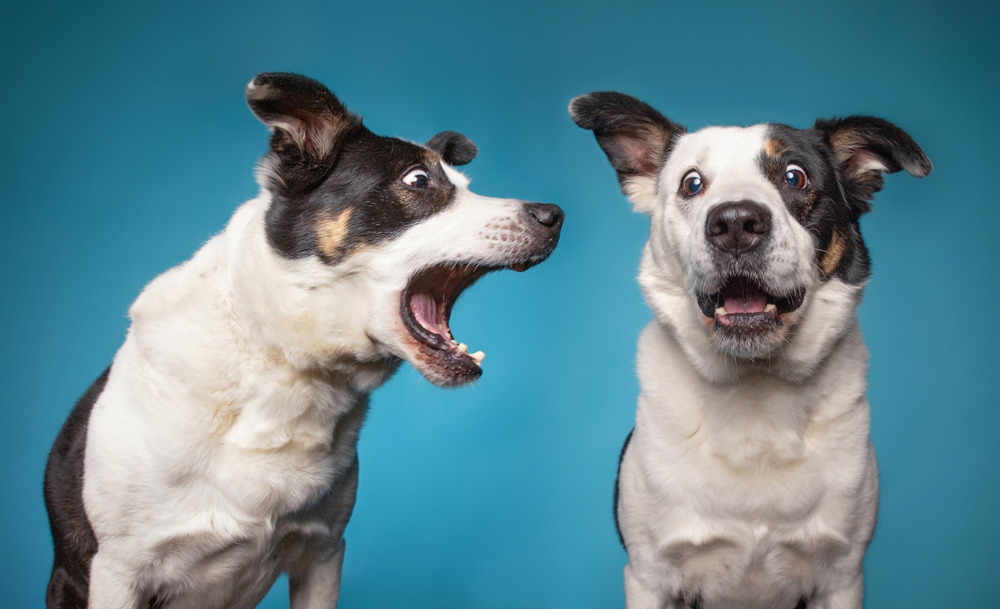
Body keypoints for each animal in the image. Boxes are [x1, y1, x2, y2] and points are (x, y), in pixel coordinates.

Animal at [43, 75, 564, 608]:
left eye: (466, 185)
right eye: (418, 180)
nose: (554, 215)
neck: (283, 362)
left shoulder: (323, 553)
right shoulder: (119, 572)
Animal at [572, 91, 928, 608]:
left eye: (795, 176)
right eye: (692, 184)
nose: (736, 223)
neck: (755, 387)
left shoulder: (843, 576)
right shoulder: (647, 576)